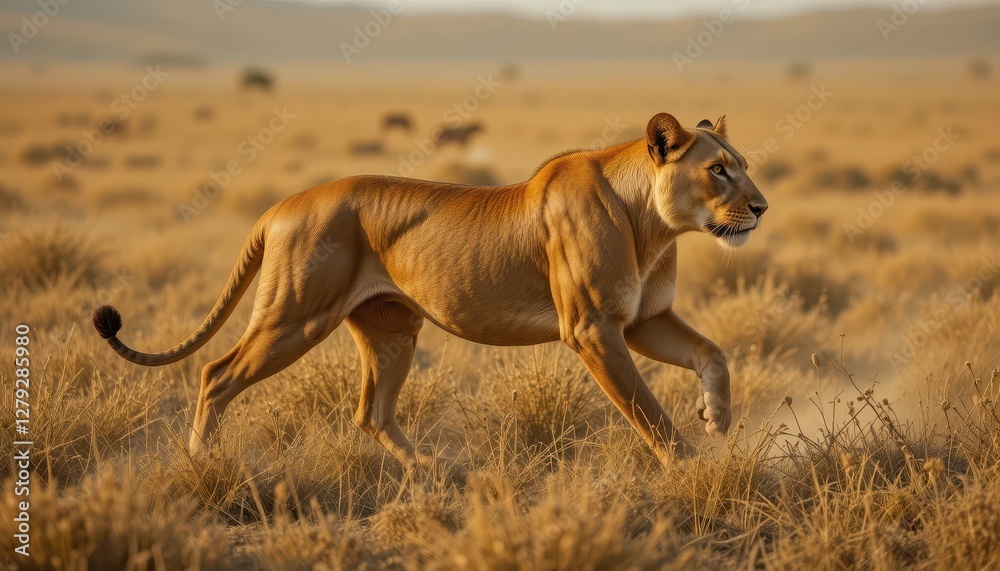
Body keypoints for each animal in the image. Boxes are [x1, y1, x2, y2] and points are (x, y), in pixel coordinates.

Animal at [93, 113, 767, 467]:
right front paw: (690, 469)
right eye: (718, 170)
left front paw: (717, 416)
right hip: (294, 317)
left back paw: (430, 473)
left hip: (392, 328)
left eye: (745, 166)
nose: (762, 207)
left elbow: (714, 354)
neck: (653, 225)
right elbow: (646, 409)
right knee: (216, 374)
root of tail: (282, 204)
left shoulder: (645, 320)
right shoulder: (594, 329)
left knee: (371, 412)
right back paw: (201, 465)